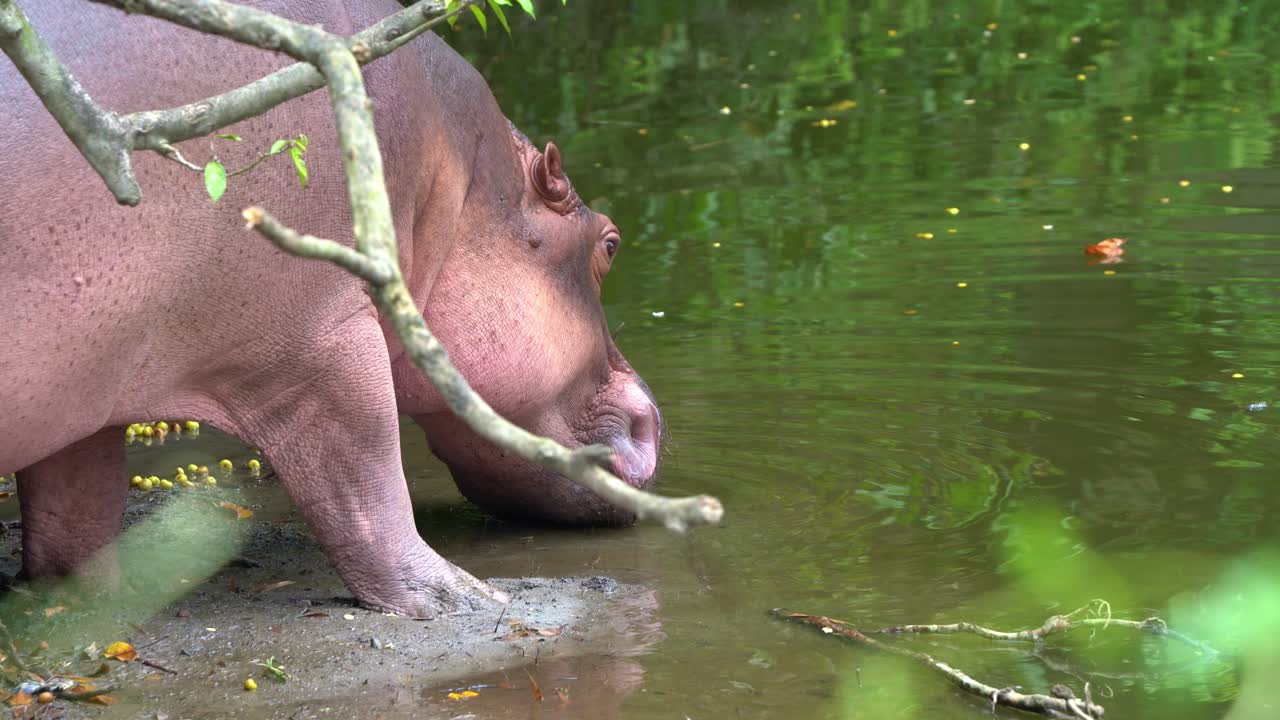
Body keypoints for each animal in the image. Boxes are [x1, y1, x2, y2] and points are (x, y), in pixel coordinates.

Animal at [0, 0, 661, 617]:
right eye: (610, 243)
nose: (653, 419)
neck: (460, 176)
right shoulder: (319, 343)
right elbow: (367, 474)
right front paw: (464, 597)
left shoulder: (89, 386)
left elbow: (75, 520)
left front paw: (99, 605)